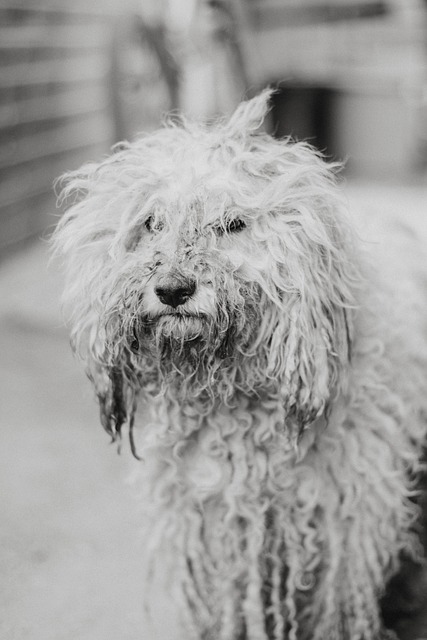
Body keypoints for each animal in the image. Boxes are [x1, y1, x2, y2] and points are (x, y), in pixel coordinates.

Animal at [51, 91, 426, 640]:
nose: (173, 289)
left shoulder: (342, 530)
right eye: (151, 223)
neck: (232, 403)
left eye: (232, 224)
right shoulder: (212, 522)